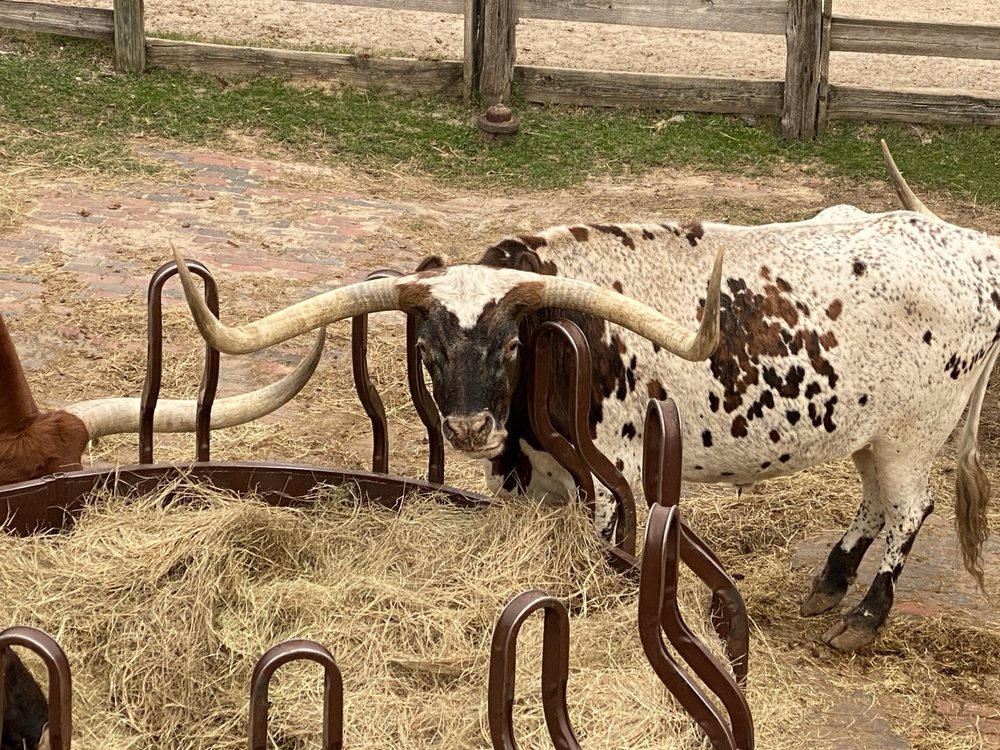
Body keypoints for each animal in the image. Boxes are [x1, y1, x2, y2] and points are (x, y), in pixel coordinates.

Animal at [170, 143, 997, 652]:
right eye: (428, 348)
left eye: (511, 345)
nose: (469, 427)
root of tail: (971, 249)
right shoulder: (528, 478)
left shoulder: (612, 478)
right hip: (871, 429)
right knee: (876, 505)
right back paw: (829, 583)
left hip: (917, 429)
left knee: (910, 510)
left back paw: (864, 616)